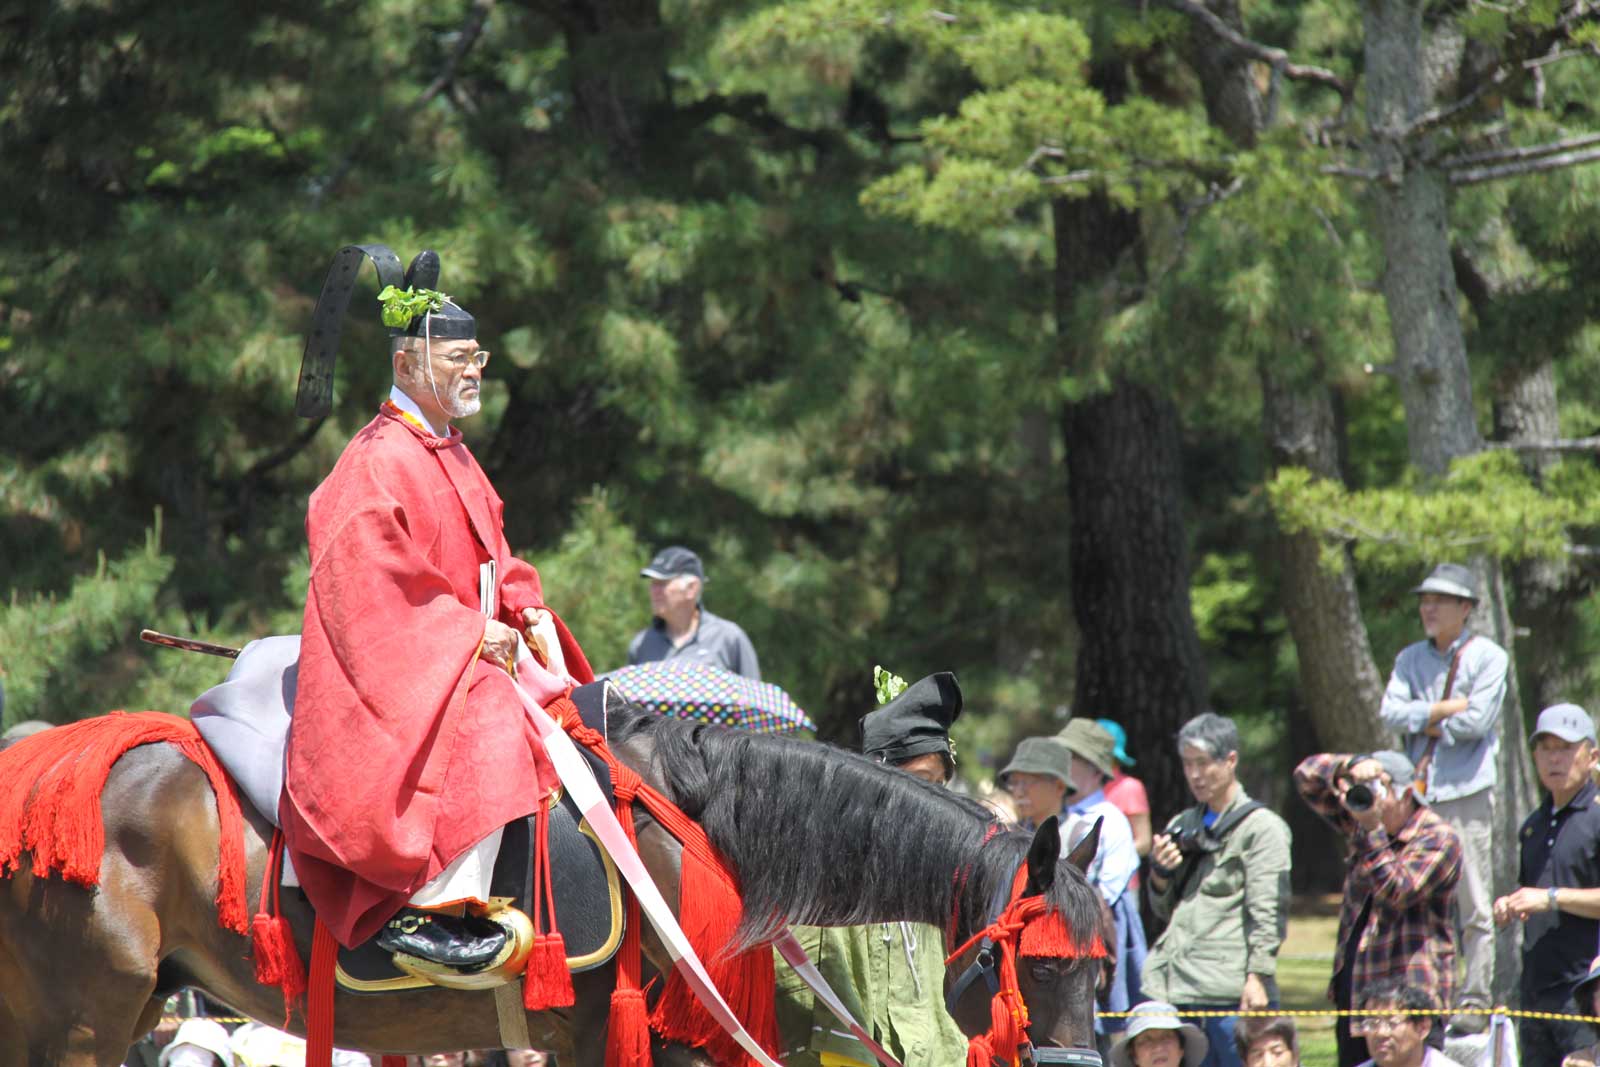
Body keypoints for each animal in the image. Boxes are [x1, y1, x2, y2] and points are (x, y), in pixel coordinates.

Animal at [0, 700, 1107, 1067]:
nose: (1071, 1060)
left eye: (1102, 968)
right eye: (1038, 964)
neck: (691, 841)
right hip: (90, 1017)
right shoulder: (623, 1035)